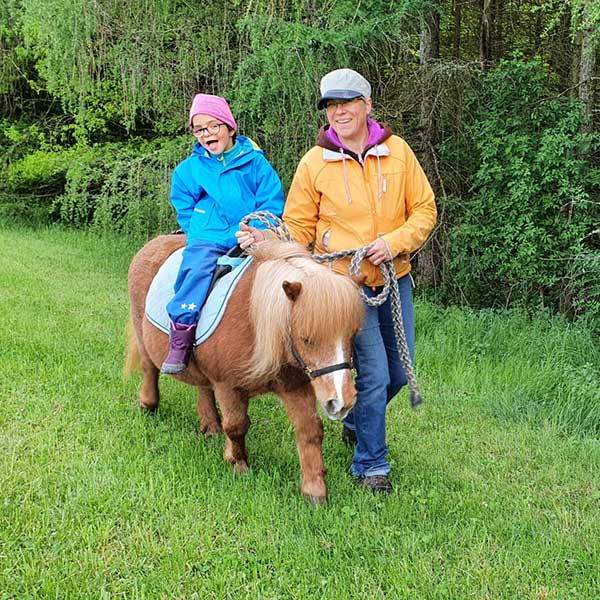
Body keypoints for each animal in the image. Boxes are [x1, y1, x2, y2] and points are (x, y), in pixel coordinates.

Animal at [124, 234, 364, 502]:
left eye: (353, 334)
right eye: (306, 339)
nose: (341, 401)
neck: (257, 324)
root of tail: (153, 243)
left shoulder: (296, 387)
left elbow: (310, 431)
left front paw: (314, 489)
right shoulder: (227, 385)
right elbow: (236, 426)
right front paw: (238, 464)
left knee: (203, 387)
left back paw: (210, 426)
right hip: (142, 334)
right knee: (149, 369)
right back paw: (148, 404)